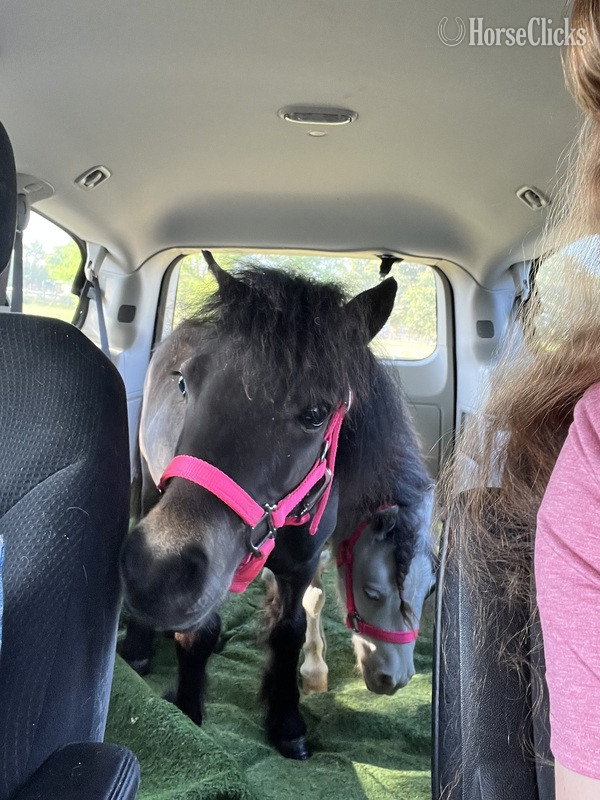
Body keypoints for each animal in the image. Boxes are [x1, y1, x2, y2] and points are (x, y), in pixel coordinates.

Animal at [119, 251, 406, 760]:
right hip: (152, 486)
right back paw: (137, 645)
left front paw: (286, 720)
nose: (157, 575)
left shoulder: (300, 567)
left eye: (316, 414)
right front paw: (187, 712)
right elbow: (198, 631)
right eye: (185, 384)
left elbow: (288, 631)